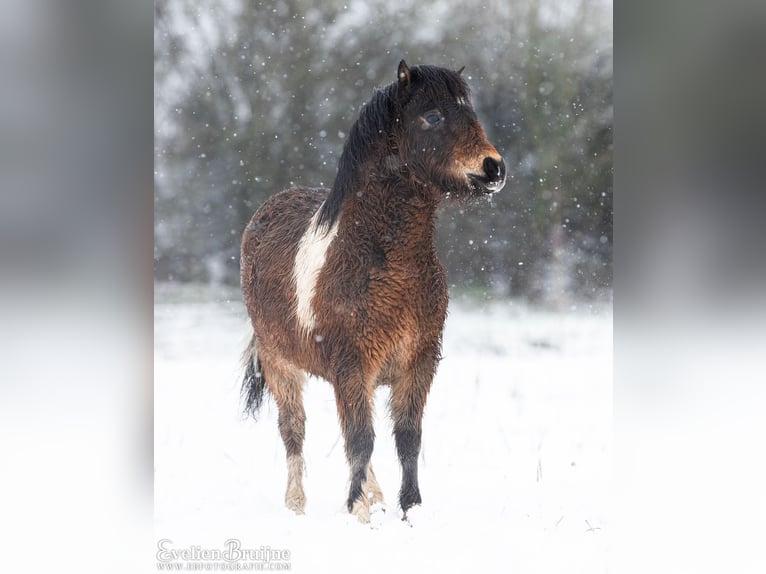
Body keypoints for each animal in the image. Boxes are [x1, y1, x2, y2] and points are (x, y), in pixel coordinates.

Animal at [240, 60, 506, 522]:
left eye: (469, 111)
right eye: (432, 116)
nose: (493, 168)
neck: (389, 263)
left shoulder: (418, 362)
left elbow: (407, 438)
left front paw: (408, 509)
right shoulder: (353, 365)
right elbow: (361, 441)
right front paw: (357, 513)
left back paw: (375, 495)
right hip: (280, 364)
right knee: (294, 430)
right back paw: (297, 504)